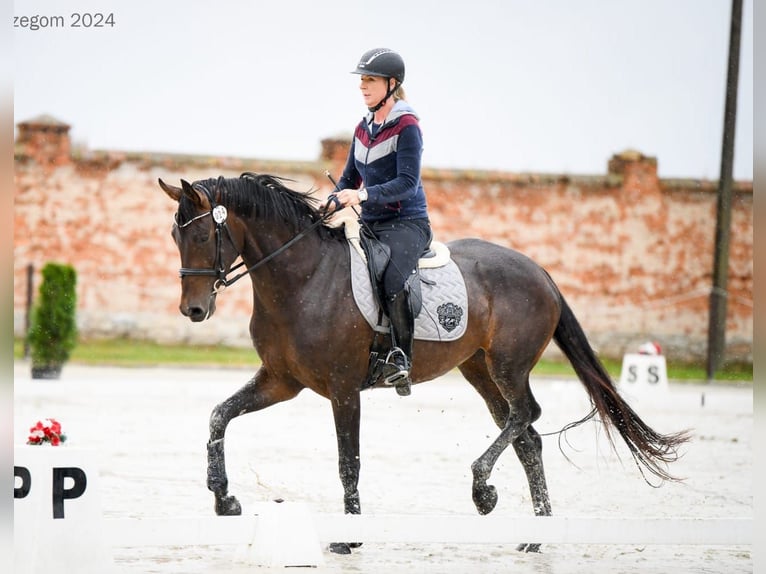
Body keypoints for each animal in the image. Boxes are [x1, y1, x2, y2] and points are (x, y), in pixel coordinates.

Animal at [159, 173, 692, 556]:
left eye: (203, 233)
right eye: (173, 236)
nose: (194, 310)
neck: (302, 278)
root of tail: (539, 270)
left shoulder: (343, 390)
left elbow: (348, 461)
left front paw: (348, 537)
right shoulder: (281, 382)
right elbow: (219, 416)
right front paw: (224, 498)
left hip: (508, 365)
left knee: (526, 416)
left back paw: (483, 490)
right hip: (479, 369)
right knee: (526, 437)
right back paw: (537, 534)